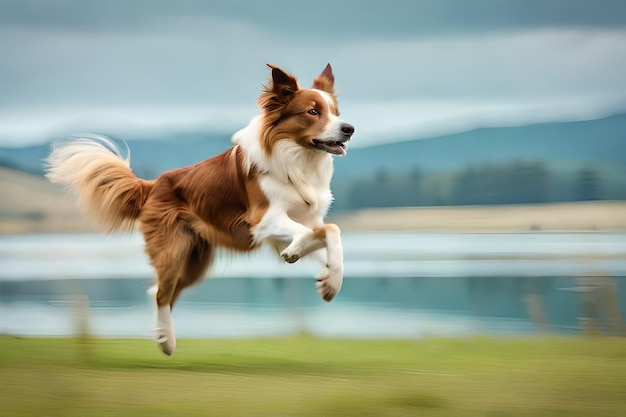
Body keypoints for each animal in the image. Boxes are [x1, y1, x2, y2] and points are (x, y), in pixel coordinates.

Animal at [46, 64, 354, 354]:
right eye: (313, 111)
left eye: (336, 112)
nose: (349, 129)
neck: (298, 159)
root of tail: (154, 183)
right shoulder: (264, 220)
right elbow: (327, 230)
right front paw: (297, 255)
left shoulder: (304, 221)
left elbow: (331, 236)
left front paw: (329, 281)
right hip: (174, 250)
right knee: (161, 294)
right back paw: (167, 343)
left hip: (195, 260)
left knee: (159, 291)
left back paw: (162, 337)